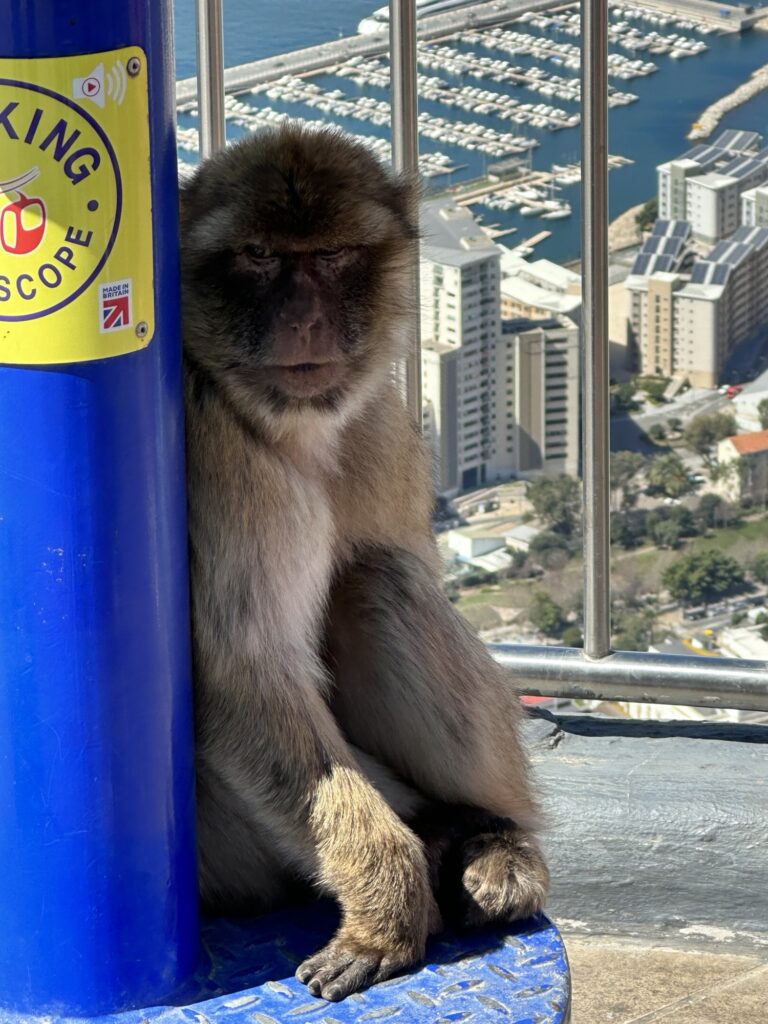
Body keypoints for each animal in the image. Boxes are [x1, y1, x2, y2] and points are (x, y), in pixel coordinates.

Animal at [180, 122, 549, 1003]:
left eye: (335, 255)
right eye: (258, 257)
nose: (305, 319)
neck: (293, 430)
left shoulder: (379, 424)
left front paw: (446, 846)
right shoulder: (217, 458)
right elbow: (243, 672)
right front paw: (389, 898)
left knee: (379, 582)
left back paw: (480, 836)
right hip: (230, 855)